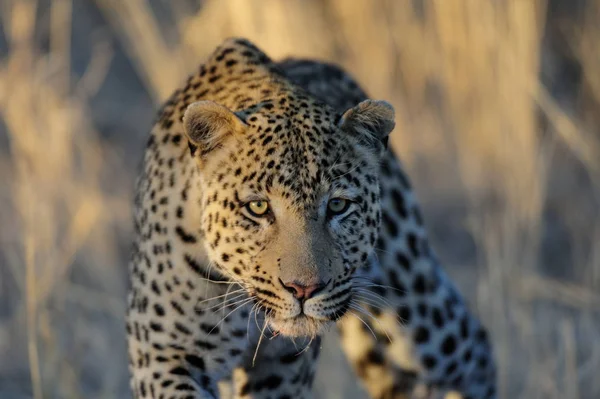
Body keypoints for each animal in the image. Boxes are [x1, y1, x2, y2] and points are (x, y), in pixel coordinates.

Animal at [127, 38, 496, 399]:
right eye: (257, 207)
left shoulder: (283, 366)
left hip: (413, 308)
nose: (303, 290)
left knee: (475, 350)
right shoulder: (163, 355)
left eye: (337, 206)